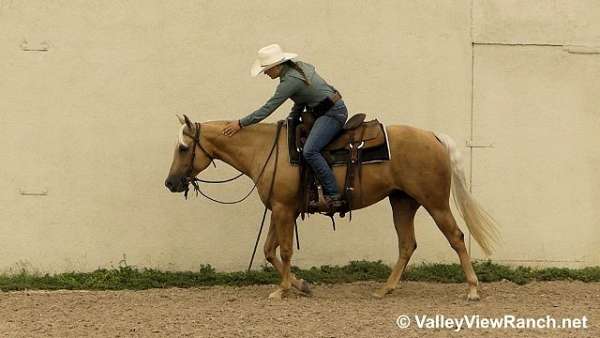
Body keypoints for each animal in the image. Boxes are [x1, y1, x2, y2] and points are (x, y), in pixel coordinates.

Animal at [164, 115, 496, 300]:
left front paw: (283, 290)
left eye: (183, 148)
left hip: (434, 202)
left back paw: (472, 289)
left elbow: (285, 250)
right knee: (407, 244)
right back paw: (385, 289)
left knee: (456, 238)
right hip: (402, 202)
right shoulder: (280, 209)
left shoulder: (283, 210)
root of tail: (433, 136)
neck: (265, 150)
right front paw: (301, 285)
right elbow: (270, 251)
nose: (170, 182)